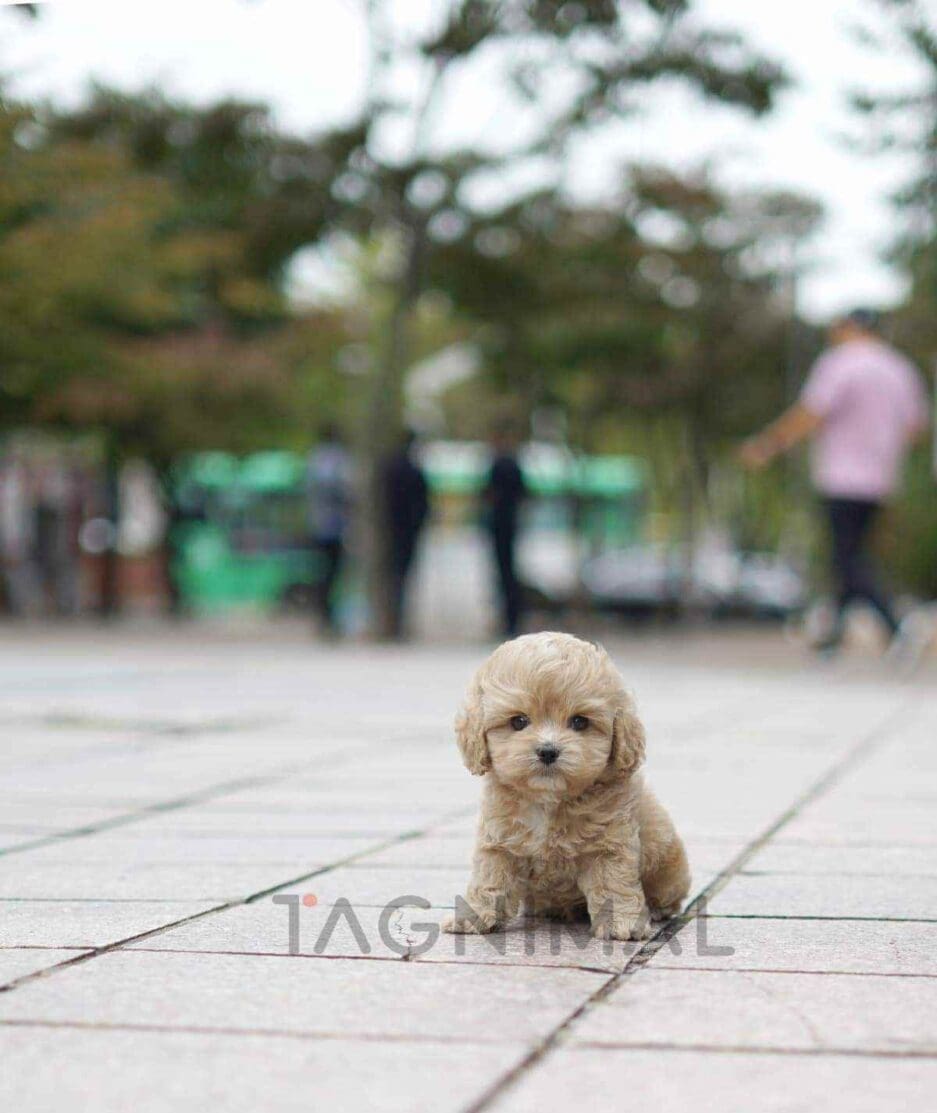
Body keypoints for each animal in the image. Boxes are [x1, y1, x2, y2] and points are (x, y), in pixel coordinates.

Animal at [442, 636, 689, 939]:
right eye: (518, 721)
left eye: (580, 721)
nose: (548, 751)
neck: (549, 801)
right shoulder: (500, 842)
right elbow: (490, 878)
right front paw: (472, 917)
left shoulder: (609, 846)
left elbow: (613, 883)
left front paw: (622, 924)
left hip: (667, 861)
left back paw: (656, 910)